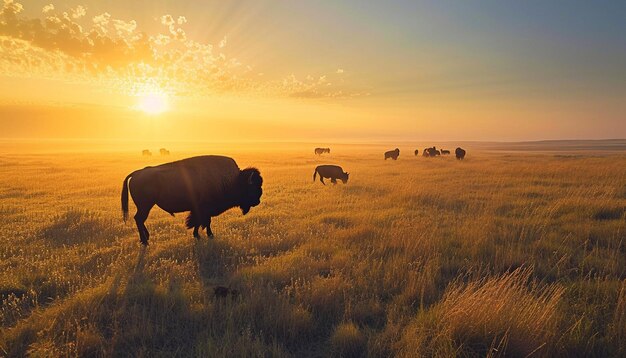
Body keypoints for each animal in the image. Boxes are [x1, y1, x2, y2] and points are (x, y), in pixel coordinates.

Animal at [120, 155, 262, 245]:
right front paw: (207, 235)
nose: (258, 201)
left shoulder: (200, 210)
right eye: (253, 187)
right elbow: (203, 222)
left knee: (139, 219)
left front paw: (199, 235)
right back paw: (145, 241)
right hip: (145, 206)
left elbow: (200, 222)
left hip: (145, 206)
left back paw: (146, 238)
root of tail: (136, 173)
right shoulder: (203, 209)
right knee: (139, 219)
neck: (233, 180)